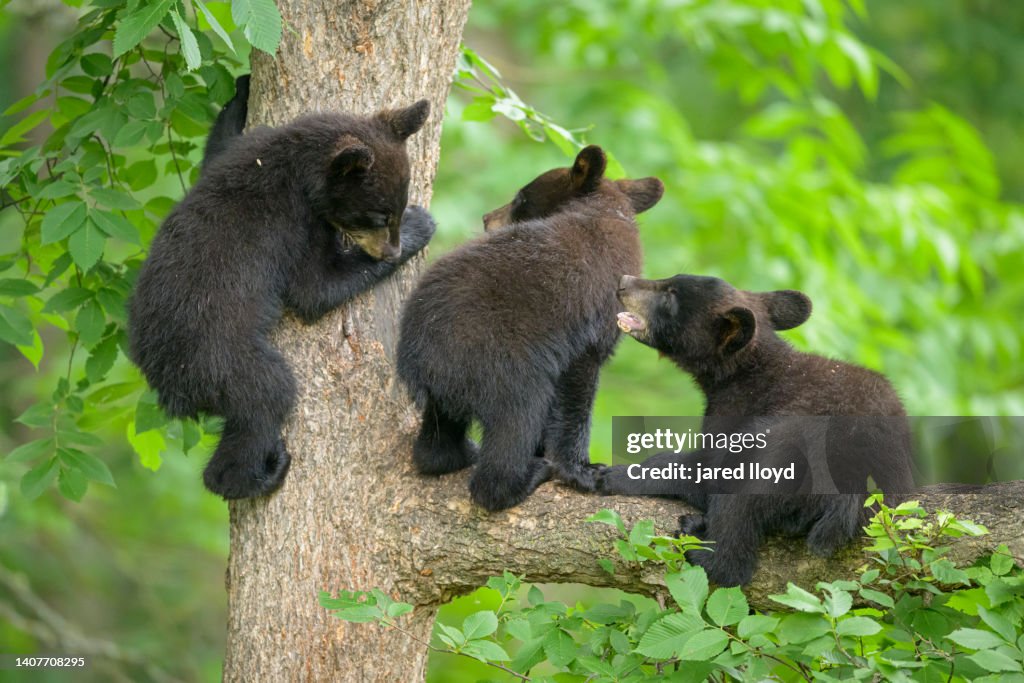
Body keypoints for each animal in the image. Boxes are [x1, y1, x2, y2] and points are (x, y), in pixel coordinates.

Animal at [128, 97, 436, 500]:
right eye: (378, 216)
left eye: (394, 210)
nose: (391, 250)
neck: (293, 163)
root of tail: (166, 384)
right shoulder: (294, 223)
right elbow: (313, 288)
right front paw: (421, 226)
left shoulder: (241, 151)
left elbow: (216, 148)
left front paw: (239, 94)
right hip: (221, 360)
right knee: (267, 397)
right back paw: (259, 474)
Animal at [396, 146, 664, 511]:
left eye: (521, 198)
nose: (486, 218)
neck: (606, 212)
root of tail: (418, 358)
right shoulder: (586, 326)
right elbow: (576, 394)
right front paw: (583, 470)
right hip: (503, 364)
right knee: (518, 418)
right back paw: (526, 475)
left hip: (450, 385)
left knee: (438, 439)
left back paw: (456, 454)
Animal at [598, 273, 916, 586]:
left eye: (671, 294)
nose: (624, 281)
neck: (744, 371)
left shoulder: (736, 409)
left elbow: (707, 469)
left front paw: (614, 474)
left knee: (738, 510)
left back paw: (700, 543)